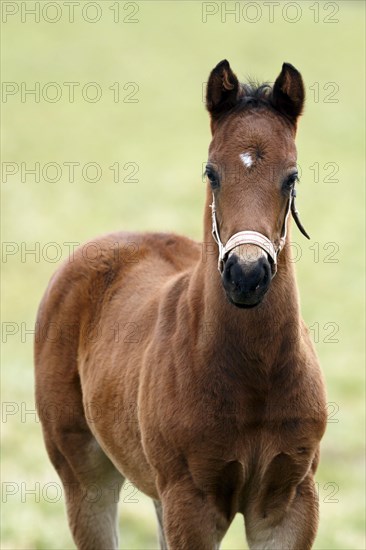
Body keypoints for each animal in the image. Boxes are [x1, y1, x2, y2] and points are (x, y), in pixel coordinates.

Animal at [35, 61, 326, 550]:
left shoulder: (289, 503)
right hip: (86, 475)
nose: (247, 275)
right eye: (211, 172)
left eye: (292, 177)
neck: (255, 376)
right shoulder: (191, 503)